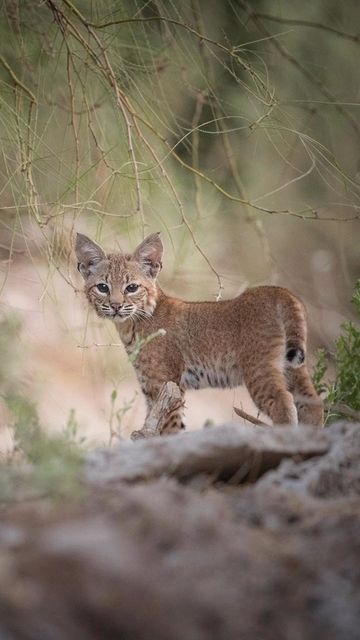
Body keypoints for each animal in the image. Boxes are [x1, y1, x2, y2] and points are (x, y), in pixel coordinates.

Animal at [75, 232, 324, 438]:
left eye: (132, 288)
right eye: (103, 287)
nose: (116, 306)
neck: (130, 324)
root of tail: (277, 289)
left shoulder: (164, 383)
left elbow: (169, 428)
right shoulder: (154, 390)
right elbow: (153, 423)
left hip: (258, 366)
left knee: (283, 401)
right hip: (292, 366)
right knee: (313, 402)